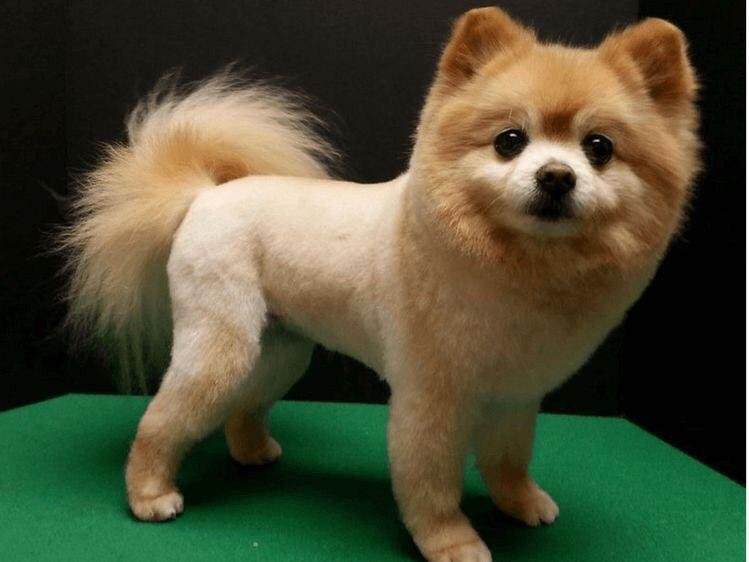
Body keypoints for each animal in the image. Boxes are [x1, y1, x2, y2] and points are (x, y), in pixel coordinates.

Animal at [61, 8, 700, 560]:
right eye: (510, 140)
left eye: (600, 148)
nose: (557, 176)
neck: (520, 269)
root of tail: (204, 196)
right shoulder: (432, 397)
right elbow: (431, 483)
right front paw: (450, 543)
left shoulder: (515, 395)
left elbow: (508, 462)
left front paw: (520, 504)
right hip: (221, 346)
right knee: (160, 421)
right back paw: (149, 494)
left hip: (280, 348)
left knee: (245, 405)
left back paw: (254, 452)